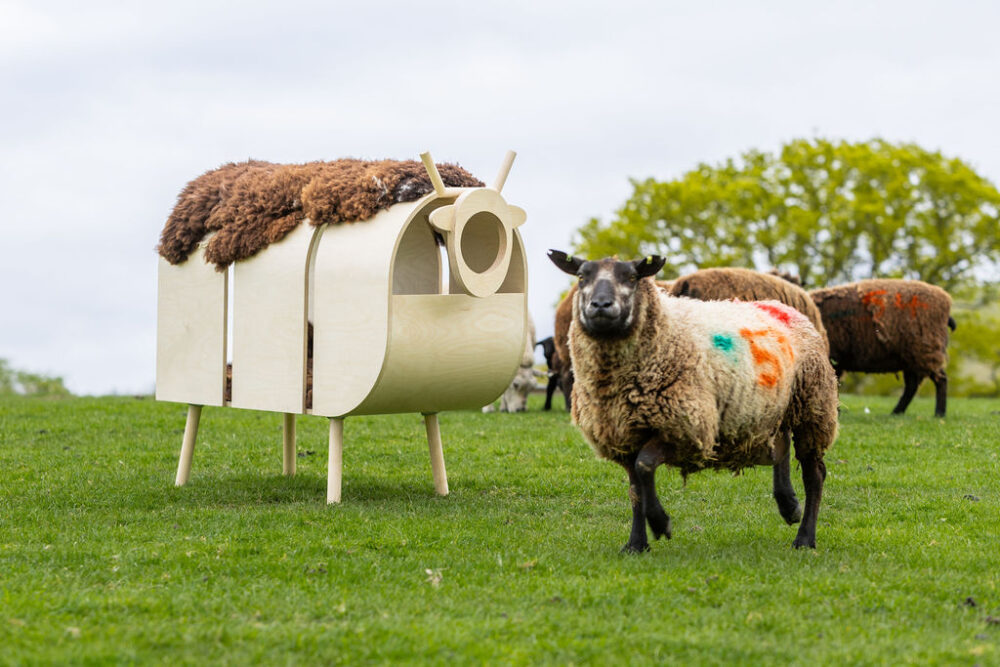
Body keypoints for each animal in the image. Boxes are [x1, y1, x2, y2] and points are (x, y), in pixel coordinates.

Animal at [548, 250, 839, 552]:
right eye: (582, 276)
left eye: (632, 277)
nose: (601, 305)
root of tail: (784, 307)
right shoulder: (624, 437)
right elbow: (635, 489)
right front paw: (636, 544)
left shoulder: (685, 428)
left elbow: (645, 466)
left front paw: (660, 523)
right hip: (772, 411)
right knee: (780, 448)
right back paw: (789, 506)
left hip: (813, 408)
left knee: (815, 474)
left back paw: (805, 537)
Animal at [810, 279, 956, 417]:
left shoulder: (833, 358)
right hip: (911, 358)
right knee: (912, 386)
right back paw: (897, 412)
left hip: (926, 350)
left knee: (940, 380)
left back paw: (939, 413)